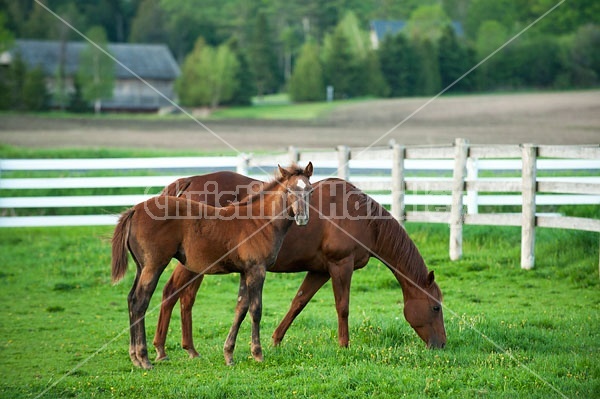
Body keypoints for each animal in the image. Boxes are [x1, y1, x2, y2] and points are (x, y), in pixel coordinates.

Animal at [110, 163, 314, 368]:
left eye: (310, 190)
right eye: (289, 190)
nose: (302, 218)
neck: (259, 221)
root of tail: (134, 210)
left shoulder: (244, 271)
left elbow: (241, 308)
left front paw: (229, 355)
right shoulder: (257, 270)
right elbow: (256, 310)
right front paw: (257, 354)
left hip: (141, 267)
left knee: (131, 299)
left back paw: (135, 357)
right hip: (154, 265)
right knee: (140, 302)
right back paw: (144, 358)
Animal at [154, 172, 446, 362]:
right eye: (436, 307)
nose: (441, 345)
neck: (360, 215)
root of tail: (188, 182)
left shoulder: (320, 271)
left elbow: (298, 302)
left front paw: (275, 340)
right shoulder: (341, 266)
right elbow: (343, 307)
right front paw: (344, 345)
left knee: (185, 298)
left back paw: (188, 349)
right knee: (171, 293)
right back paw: (161, 349)